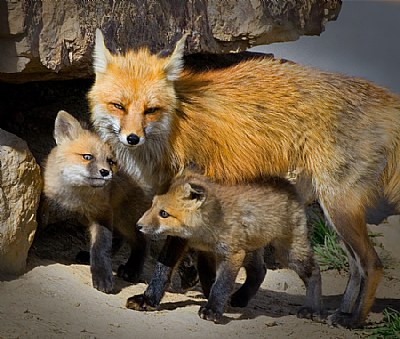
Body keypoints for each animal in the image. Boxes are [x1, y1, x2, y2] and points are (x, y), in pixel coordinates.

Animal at [42, 110, 152, 294]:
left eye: (110, 161)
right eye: (87, 157)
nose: (105, 172)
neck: (76, 198)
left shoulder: (102, 213)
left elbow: (101, 247)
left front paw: (102, 276)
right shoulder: (48, 201)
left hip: (126, 218)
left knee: (141, 242)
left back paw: (132, 270)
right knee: (119, 239)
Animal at [128, 171, 322, 322]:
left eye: (164, 213)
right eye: (152, 206)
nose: (138, 226)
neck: (201, 234)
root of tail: (287, 184)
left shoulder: (232, 253)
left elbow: (221, 284)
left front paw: (213, 309)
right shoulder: (190, 246)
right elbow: (164, 272)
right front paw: (148, 299)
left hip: (288, 253)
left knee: (314, 271)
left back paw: (312, 308)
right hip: (251, 250)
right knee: (260, 271)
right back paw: (241, 298)